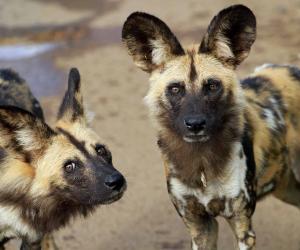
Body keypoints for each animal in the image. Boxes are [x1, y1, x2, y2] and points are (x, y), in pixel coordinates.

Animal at [122, 3, 300, 250]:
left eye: (212, 86)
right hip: (287, 188)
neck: (202, 163)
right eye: (175, 89)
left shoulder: (242, 225)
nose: (195, 124)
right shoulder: (199, 226)